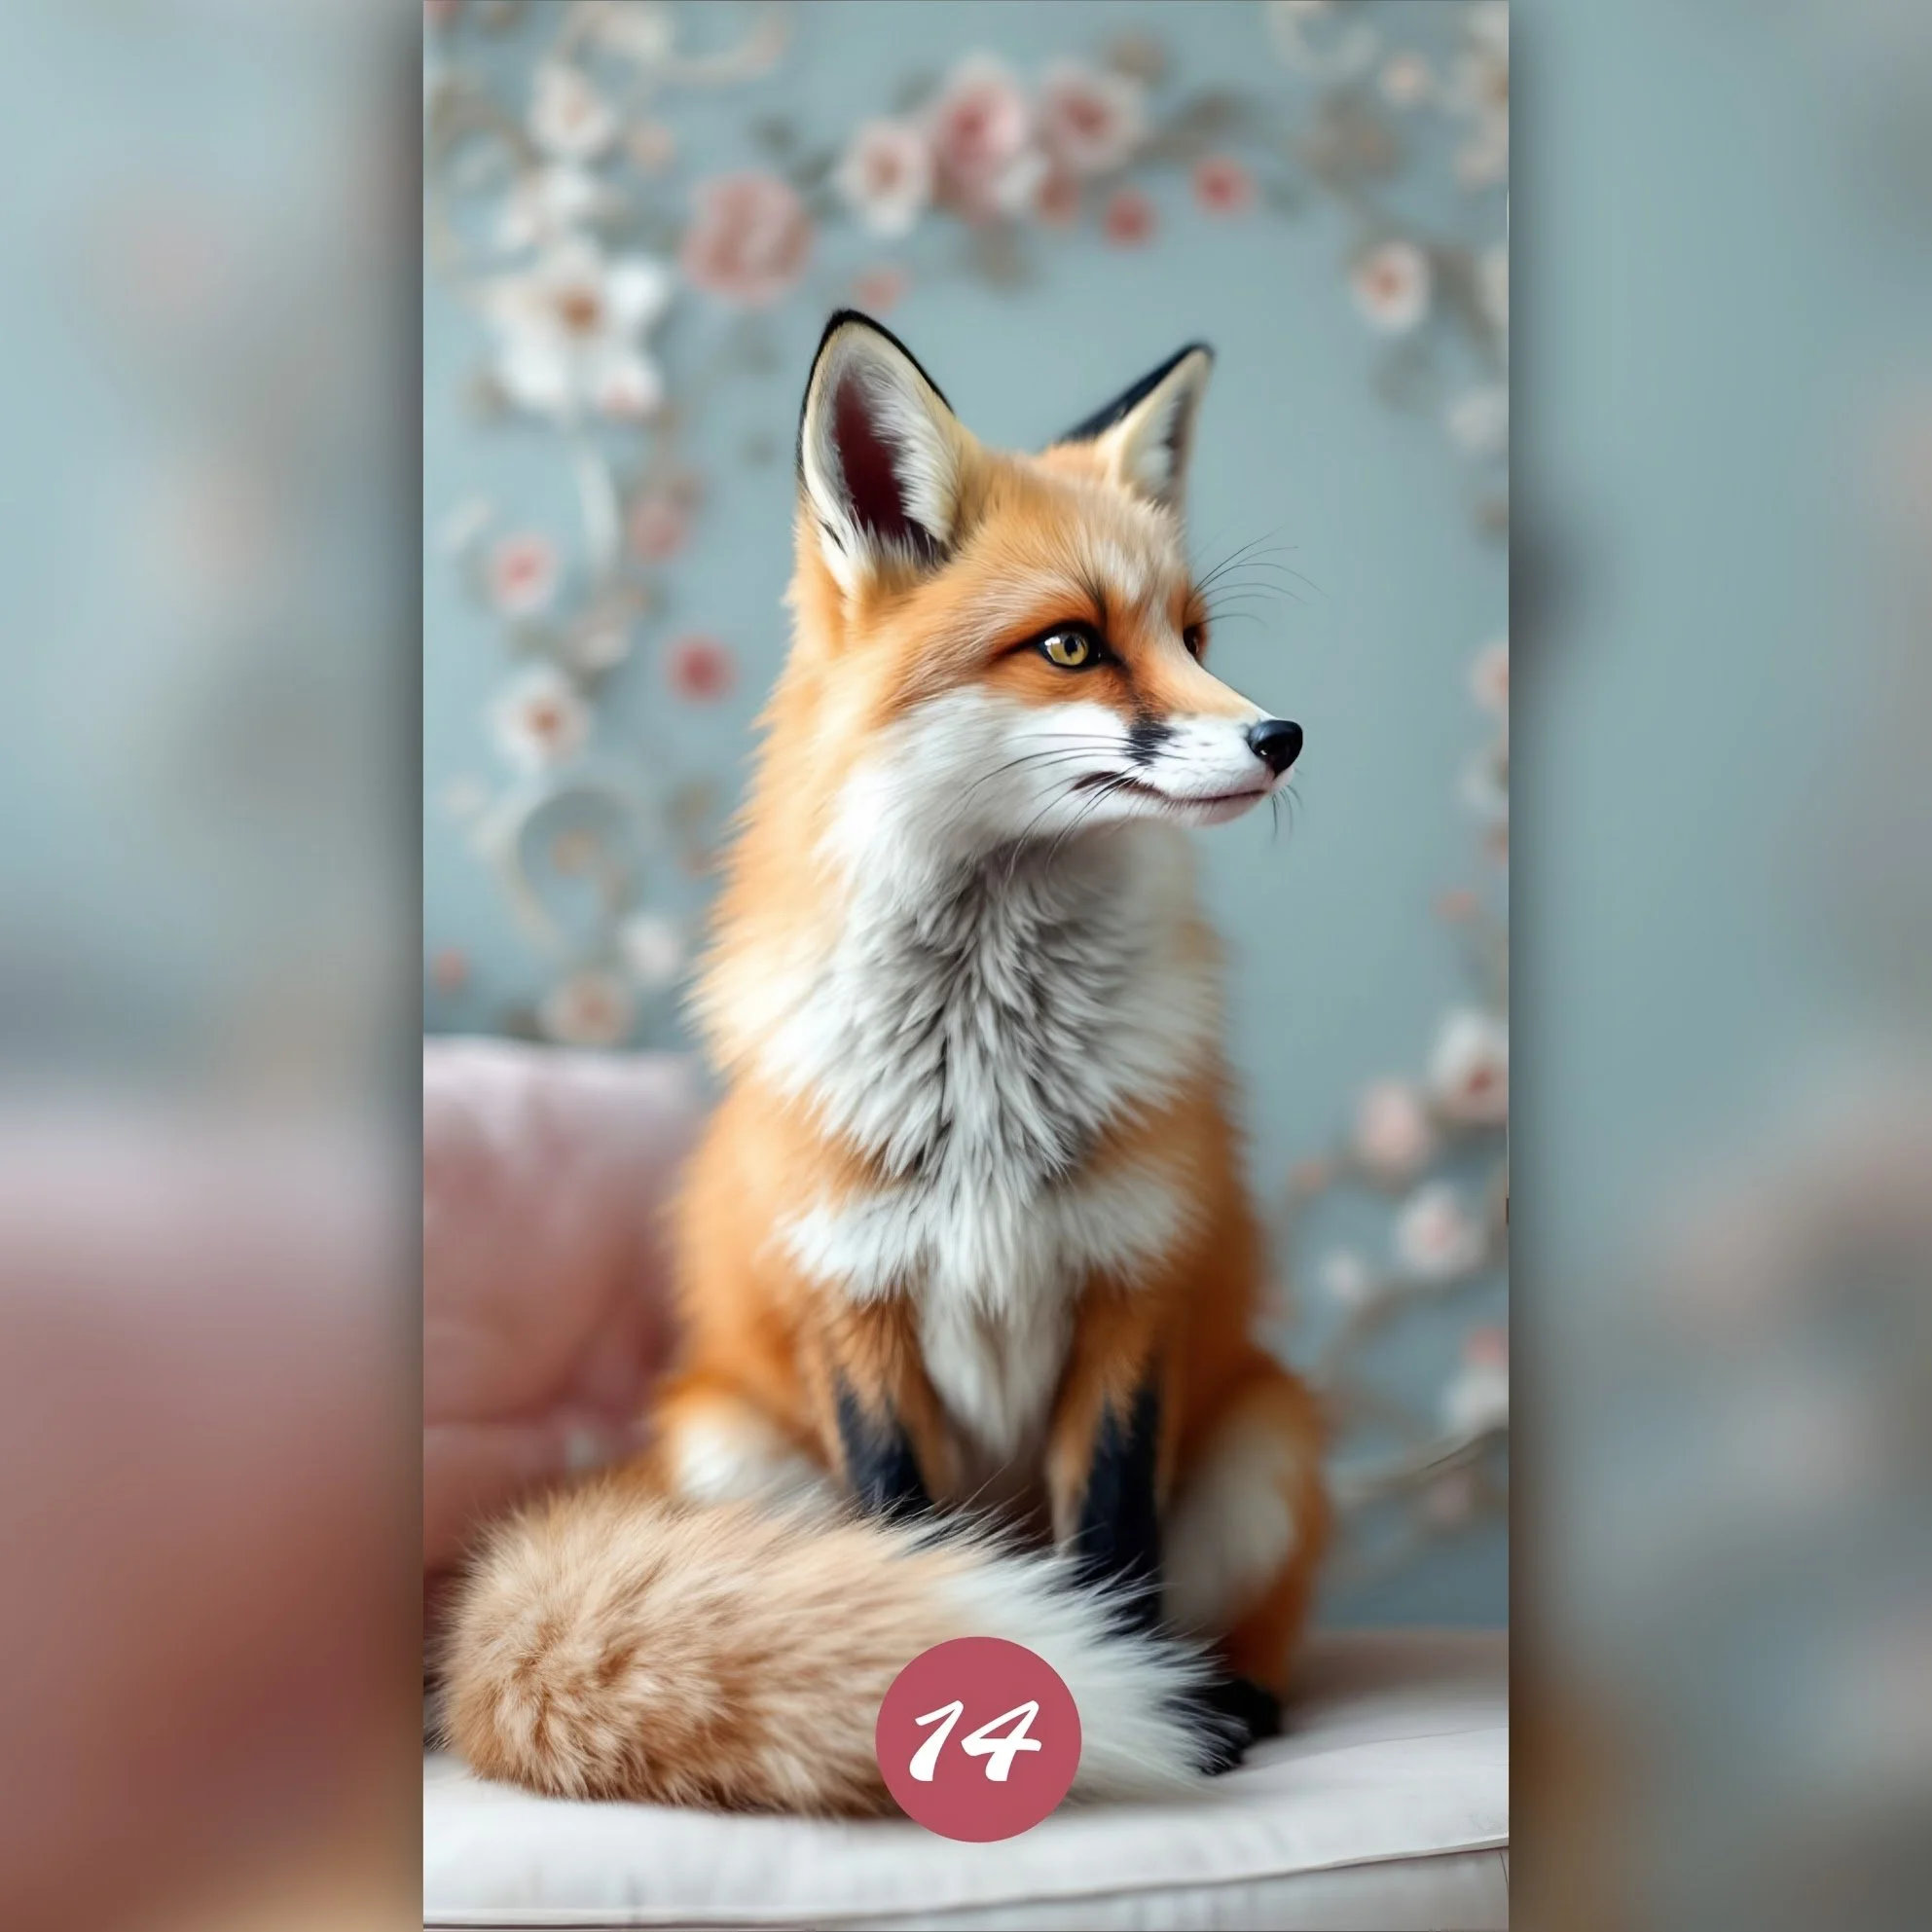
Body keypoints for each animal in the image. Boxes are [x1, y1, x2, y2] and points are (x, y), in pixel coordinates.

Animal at [442, 312, 1330, 1816]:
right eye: (1073, 644)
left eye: (1193, 636)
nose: (1283, 736)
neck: (985, 1078)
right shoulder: (853, 1308)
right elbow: (903, 1545)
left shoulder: (1129, 1296)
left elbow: (1111, 1552)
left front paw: (1146, 1705)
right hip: (729, 1447)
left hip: (1265, 1438)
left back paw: (1228, 1697)